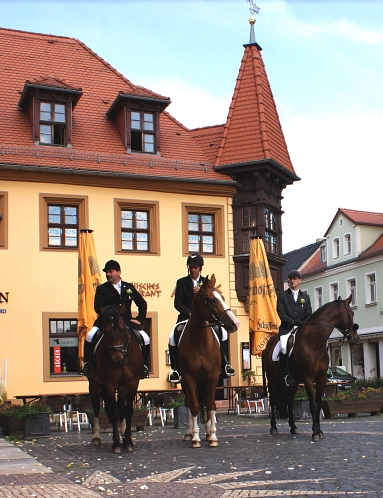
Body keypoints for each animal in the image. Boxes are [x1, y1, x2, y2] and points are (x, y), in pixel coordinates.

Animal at [88, 306, 143, 454]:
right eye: (106, 331)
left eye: (123, 329)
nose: (116, 359)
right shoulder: (109, 384)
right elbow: (113, 412)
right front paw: (117, 443)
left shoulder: (132, 383)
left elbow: (127, 411)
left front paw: (128, 442)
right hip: (94, 383)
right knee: (96, 407)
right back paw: (96, 437)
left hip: (122, 387)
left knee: (121, 408)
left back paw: (124, 433)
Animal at [178, 274, 240, 450]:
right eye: (212, 300)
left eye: (223, 298)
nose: (235, 323)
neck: (199, 340)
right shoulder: (188, 377)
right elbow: (193, 405)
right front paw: (195, 438)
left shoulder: (212, 376)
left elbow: (211, 404)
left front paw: (212, 436)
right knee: (191, 403)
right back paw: (189, 432)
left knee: (205, 402)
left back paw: (206, 431)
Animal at [262, 296, 358, 440]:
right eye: (350, 314)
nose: (355, 338)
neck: (315, 342)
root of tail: (268, 344)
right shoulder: (308, 377)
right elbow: (312, 405)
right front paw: (315, 433)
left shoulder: (321, 378)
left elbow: (318, 404)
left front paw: (318, 430)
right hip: (272, 378)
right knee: (273, 401)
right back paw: (273, 428)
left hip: (294, 381)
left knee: (290, 401)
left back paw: (293, 427)